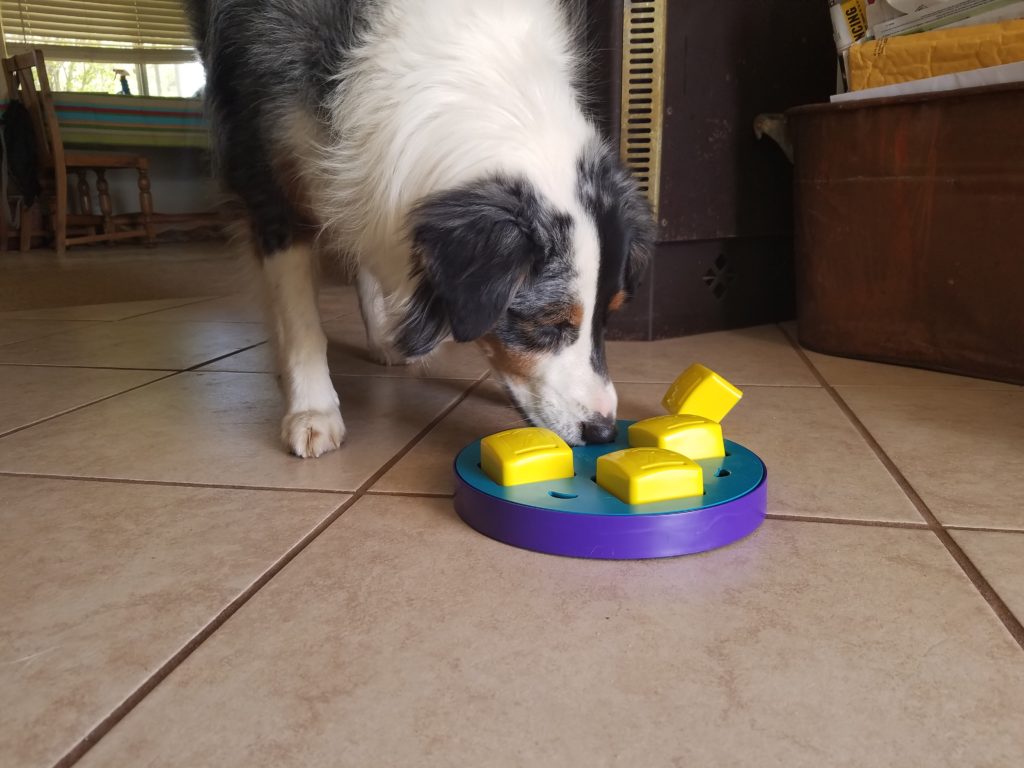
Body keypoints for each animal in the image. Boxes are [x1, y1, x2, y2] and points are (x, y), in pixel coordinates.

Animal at [187, 0, 651, 456]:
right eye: (547, 324)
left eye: (609, 317)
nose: (604, 431)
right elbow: (301, 320)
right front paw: (312, 410)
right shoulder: (272, 178)